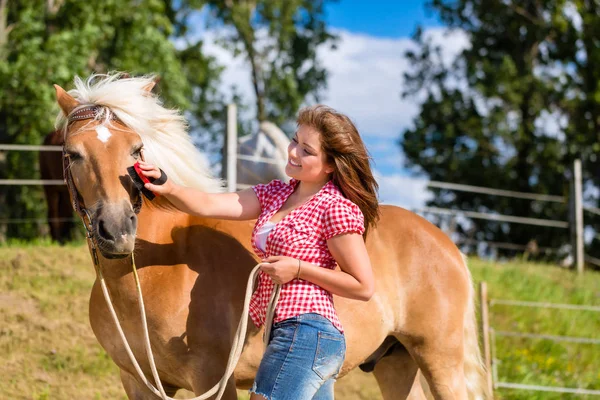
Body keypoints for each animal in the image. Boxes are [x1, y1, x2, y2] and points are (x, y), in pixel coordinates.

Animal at [55, 73, 488, 398]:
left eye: (136, 149)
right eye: (73, 154)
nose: (117, 230)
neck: (153, 275)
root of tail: (446, 243)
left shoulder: (215, 382)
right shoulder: (139, 384)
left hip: (440, 361)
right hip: (396, 362)